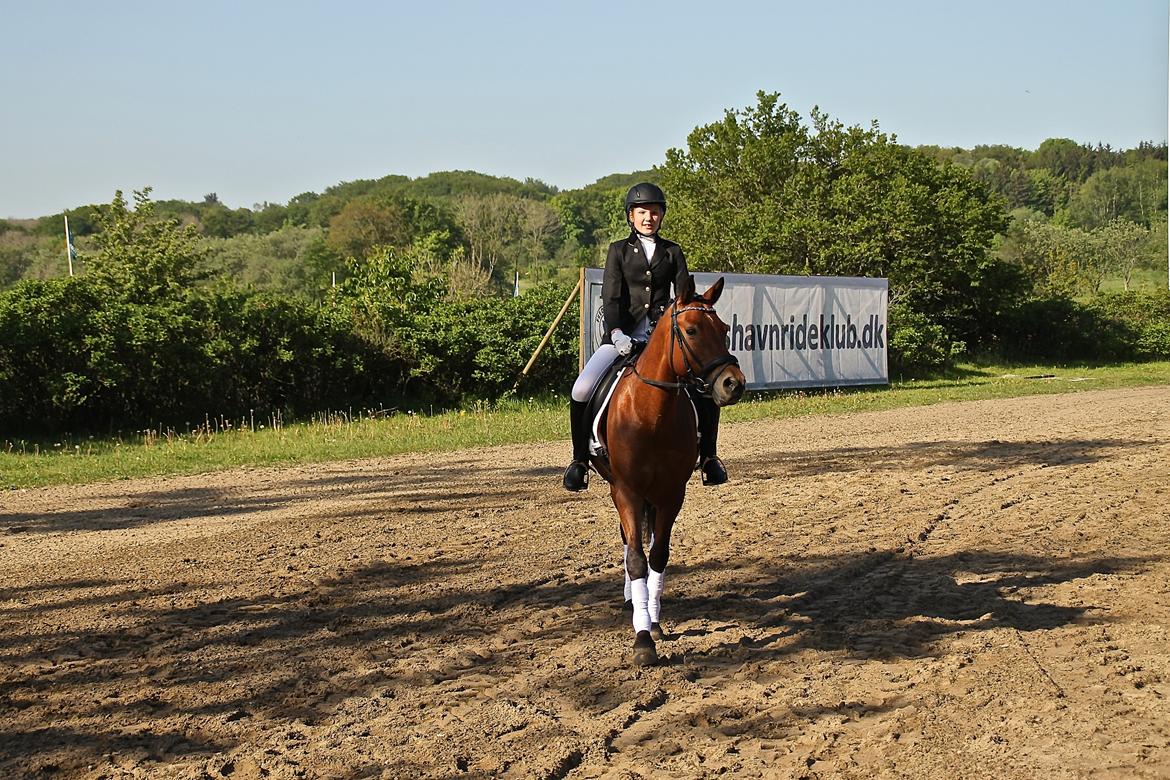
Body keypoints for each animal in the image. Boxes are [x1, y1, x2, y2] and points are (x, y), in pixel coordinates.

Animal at [594, 274, 748, 664]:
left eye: (725, 329)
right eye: (691, 330)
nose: (733, 384)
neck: (652, 413)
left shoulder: (672, 493)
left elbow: (658, 556)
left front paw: (652, 623)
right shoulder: (627, 491)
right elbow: (636, 558)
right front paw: (641, 639)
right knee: (628, 540)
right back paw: (633, 603)